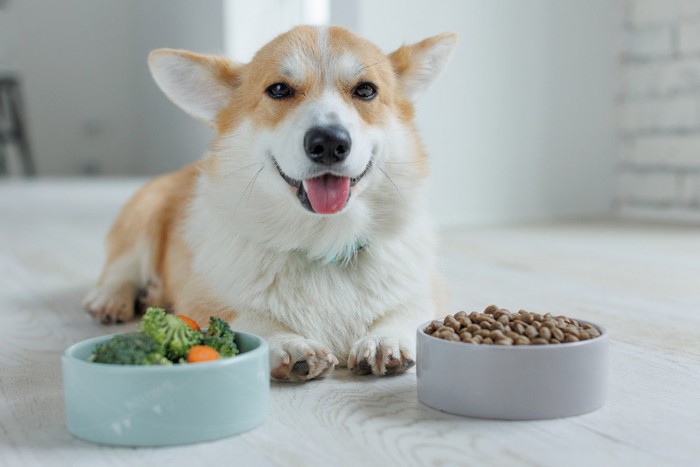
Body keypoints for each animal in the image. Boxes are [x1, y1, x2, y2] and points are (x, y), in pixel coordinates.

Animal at [83, 25, 454, 382]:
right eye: (278, 90)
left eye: (365, 91)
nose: (329, 143)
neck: (324, 242)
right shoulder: (202, 298)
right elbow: (248, 318)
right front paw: (287, 343)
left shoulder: (427, 290)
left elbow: (407, 310)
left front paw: (385, 339)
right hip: (144, 211)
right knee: (121, 268)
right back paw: (112, 298)